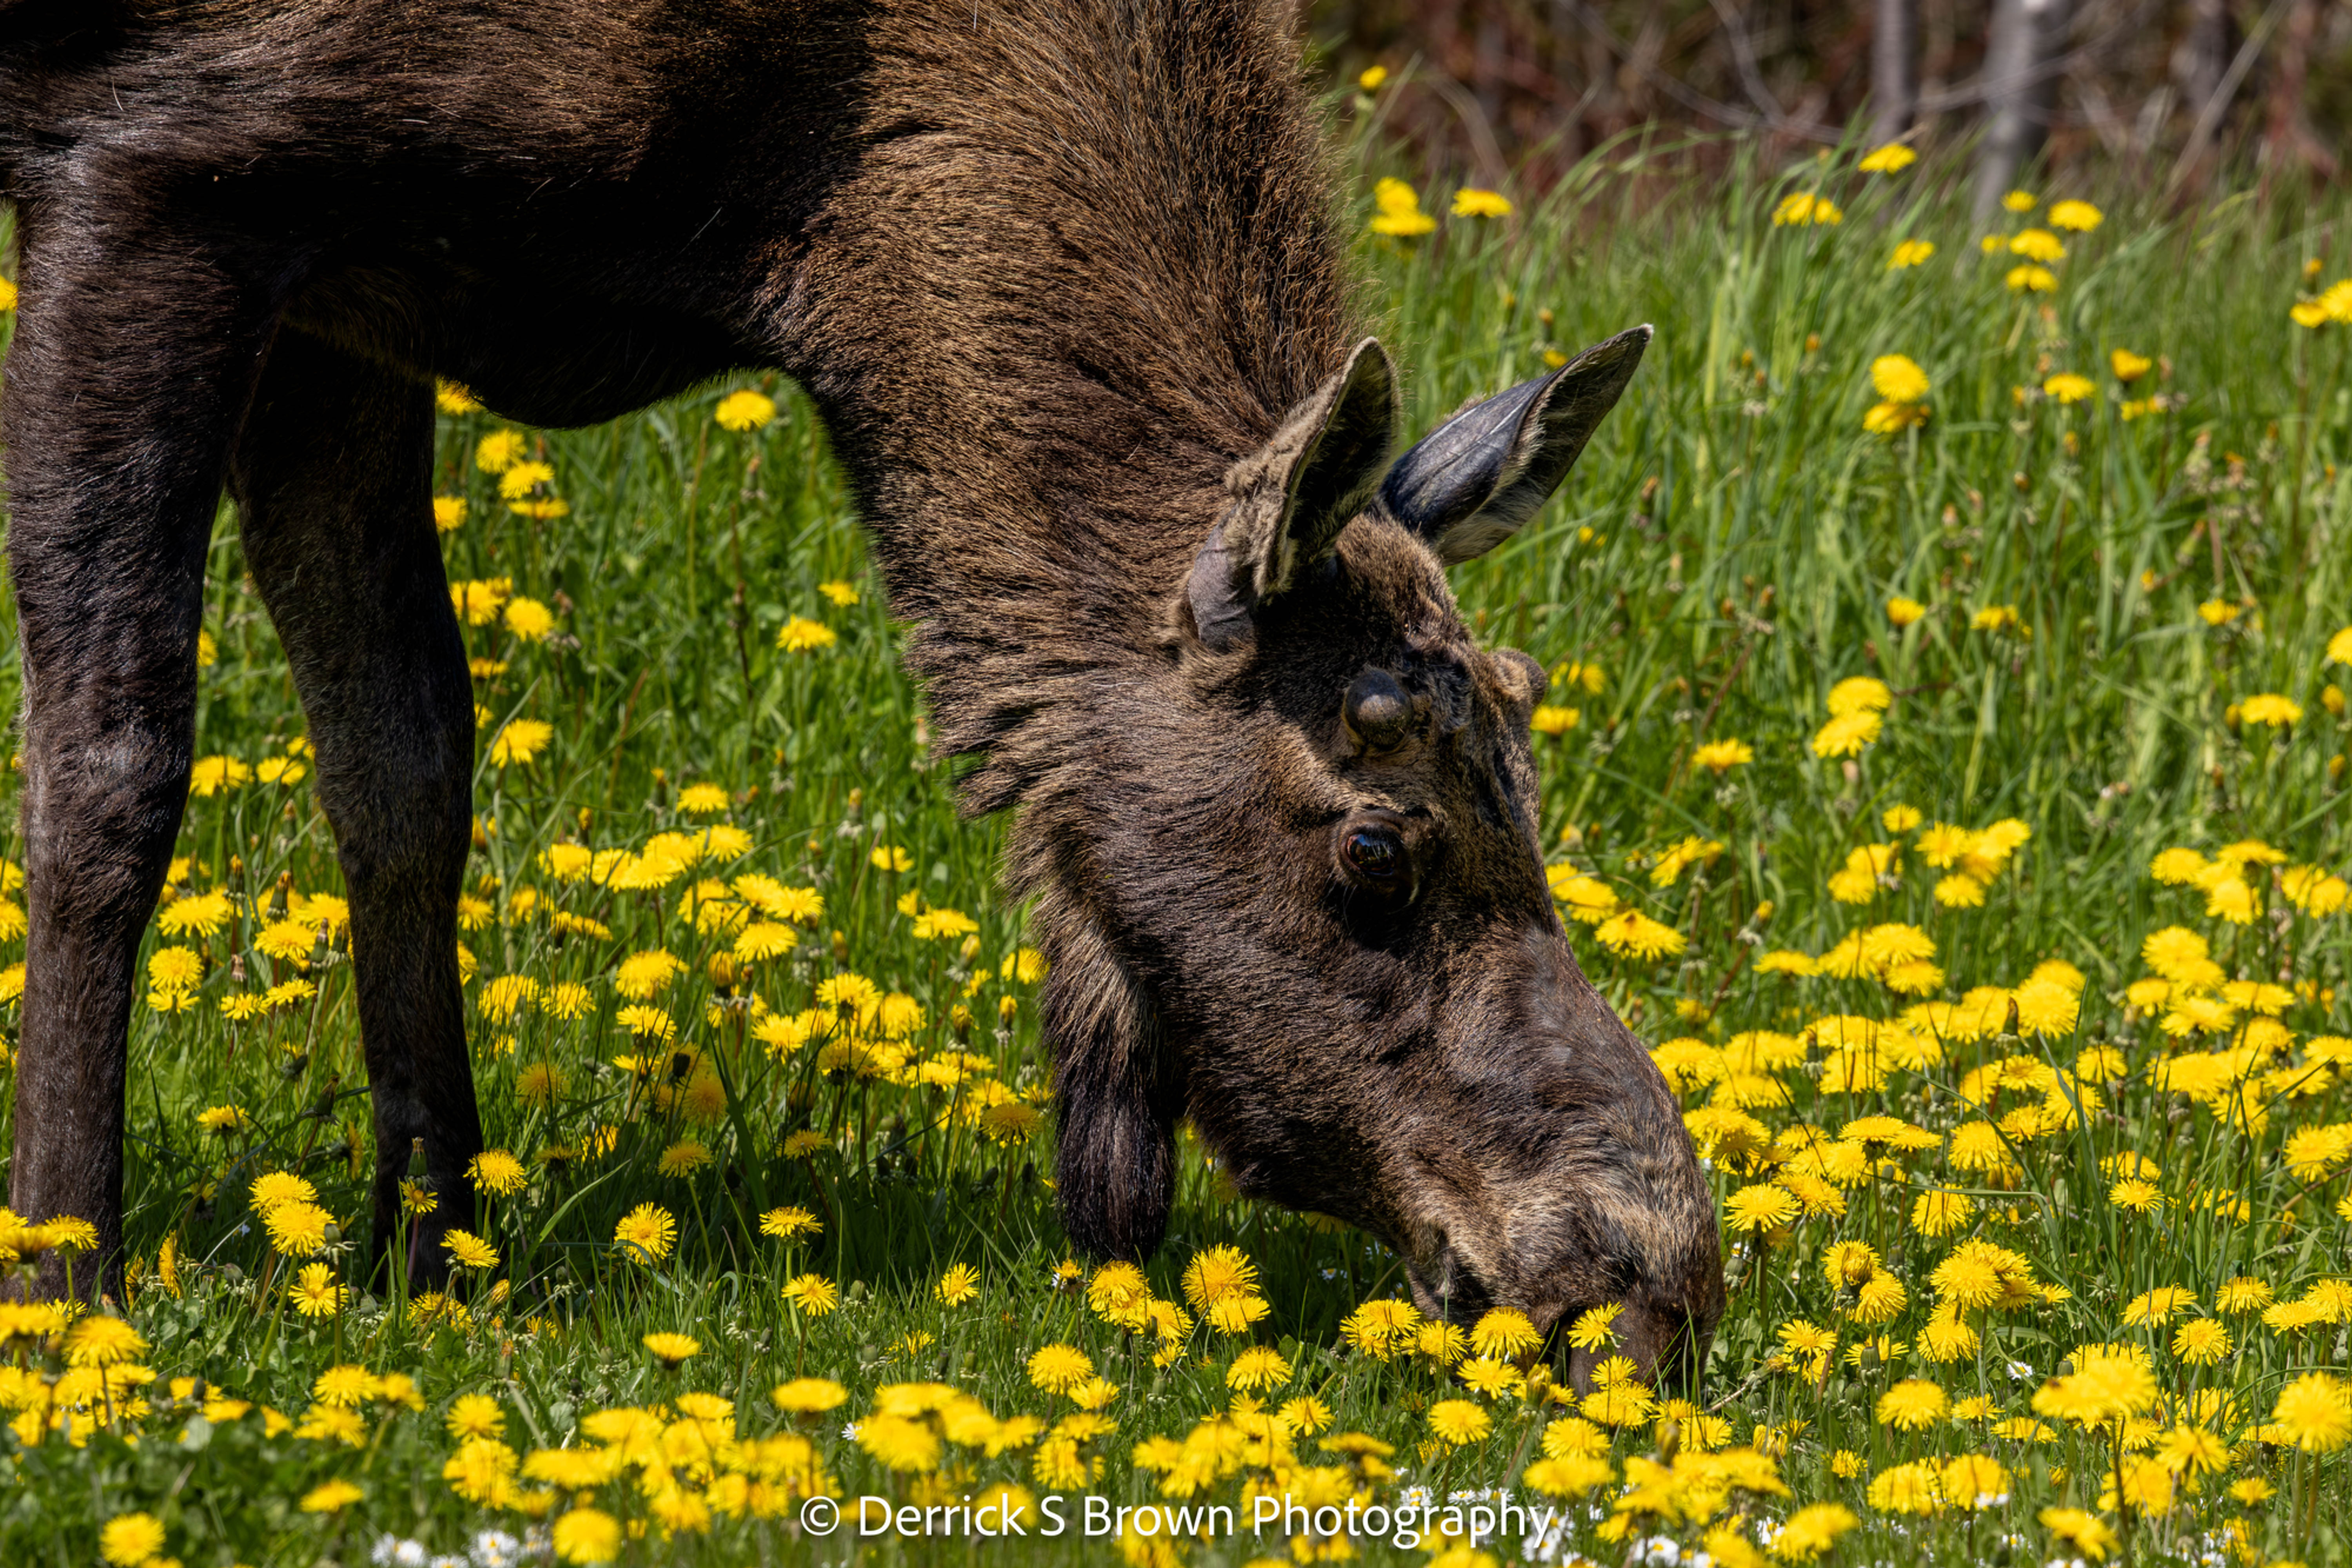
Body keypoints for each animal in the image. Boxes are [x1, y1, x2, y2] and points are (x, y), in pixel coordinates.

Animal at [0, 0, 1721, 1387]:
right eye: (1374, 843)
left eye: (1528, 767)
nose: (1655, 1278)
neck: (789, 216)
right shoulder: (166, 159)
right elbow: (114, 766)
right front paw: (67, 1288)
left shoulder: (357, 286)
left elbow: (405, 765)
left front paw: (433, 1264)